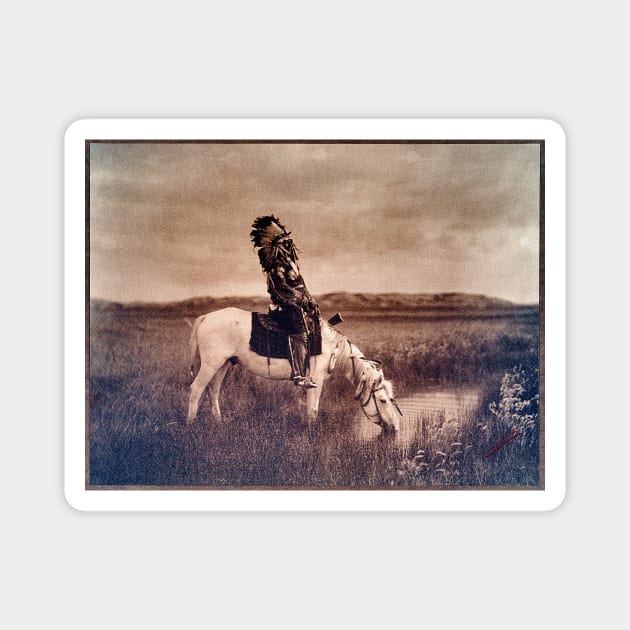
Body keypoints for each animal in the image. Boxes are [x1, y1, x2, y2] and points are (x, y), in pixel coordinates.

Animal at [189, 308, 404, 434]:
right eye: (383, 401)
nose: (395, 427)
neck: (333, 348)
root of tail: (205, 317)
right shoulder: (315, 380)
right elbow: (313, 409)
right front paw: (312, 433)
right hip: (210, 364)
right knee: (196, 390)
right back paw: (190, 424)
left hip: (222, 364)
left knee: (213, 391)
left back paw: (218, 422)